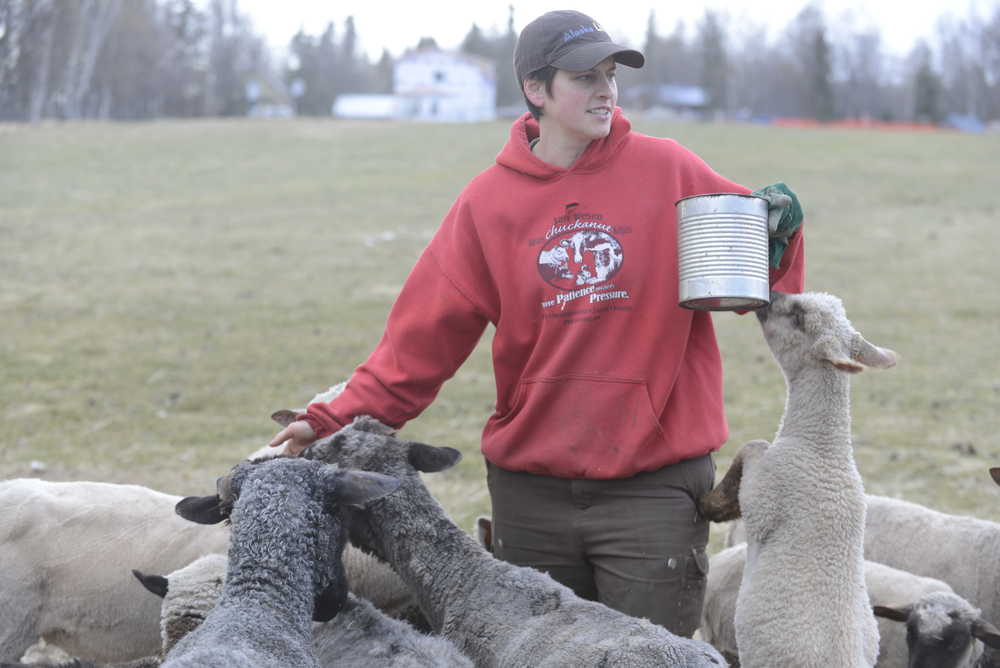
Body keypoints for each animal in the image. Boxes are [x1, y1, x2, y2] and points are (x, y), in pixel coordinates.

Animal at [700, 292, 896, 668]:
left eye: (799, 317)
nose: (770, 297)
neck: (822, 447)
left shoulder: (766, 496)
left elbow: (754, 448)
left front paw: (715, 505)